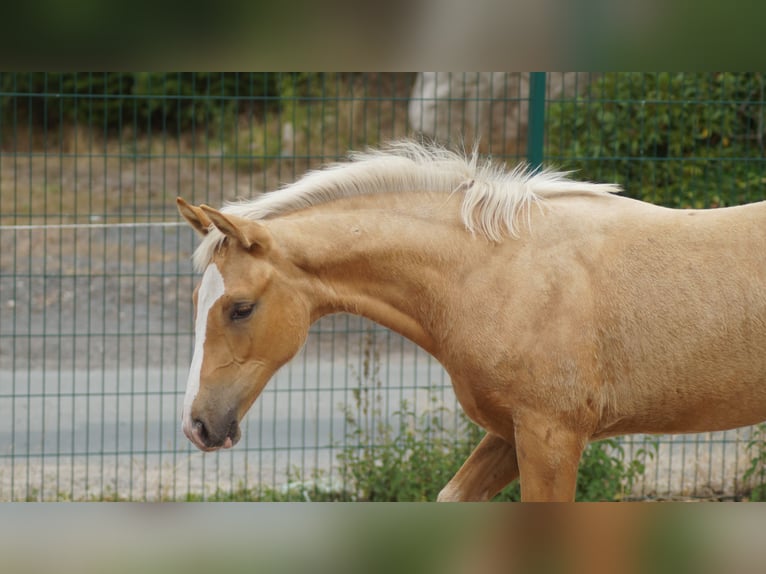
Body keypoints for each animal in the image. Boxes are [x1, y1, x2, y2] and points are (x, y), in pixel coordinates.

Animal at [177, 140, 766, 501]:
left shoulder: (552, 438)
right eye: (197, 299)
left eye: (240, 307)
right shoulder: (509, 432)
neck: (497, 273)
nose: (198, 425)